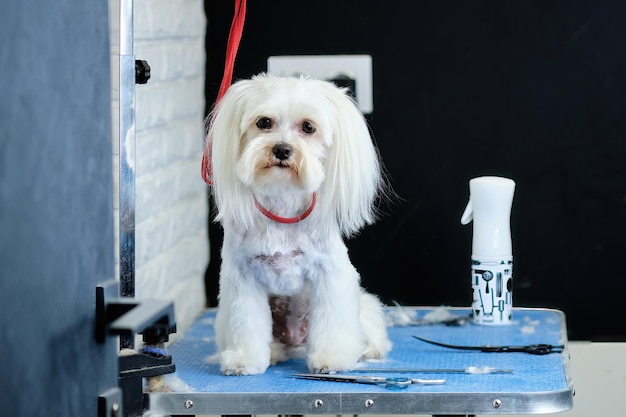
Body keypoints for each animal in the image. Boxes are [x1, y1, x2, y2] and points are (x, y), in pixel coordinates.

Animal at [205, 73, 390, 376]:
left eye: (308, 127)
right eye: (263, 122)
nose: (281, 149)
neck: (283, 201)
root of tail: (294, 338)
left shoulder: (330, 274)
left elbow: (333, 324)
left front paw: (331, 358)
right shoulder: (242, 279)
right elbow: (246, 323)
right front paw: (244, 360)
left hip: (362, 306)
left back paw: (369, 349)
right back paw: (274, 352)